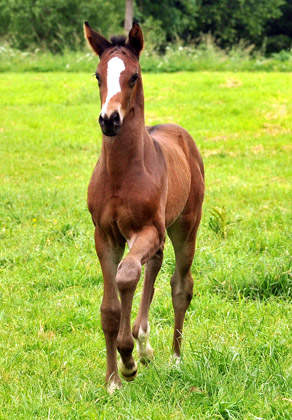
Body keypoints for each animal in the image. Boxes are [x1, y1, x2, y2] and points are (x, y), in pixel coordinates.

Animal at [83, 21, 204, 392]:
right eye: (97, 75)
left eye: (133, 76)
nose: (109, 119)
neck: (121, 173)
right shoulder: (105, 236)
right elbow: (109, 309)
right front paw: (112, 380)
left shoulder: (147, 230)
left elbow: (126, 275)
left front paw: (128, 362)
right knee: (153, 268)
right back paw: (144, 343)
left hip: (184, 228)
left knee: (180, 285)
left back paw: (174, 358)